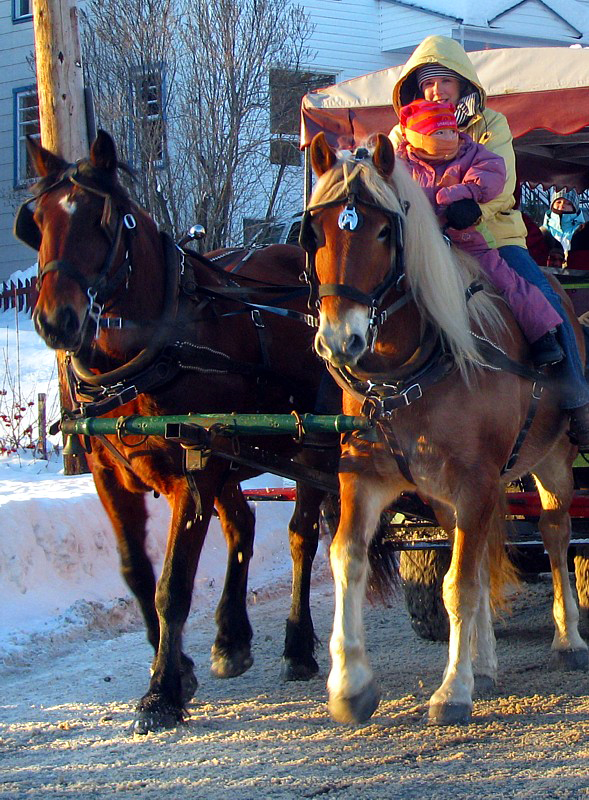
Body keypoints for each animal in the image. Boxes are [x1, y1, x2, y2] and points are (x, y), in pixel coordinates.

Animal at [21, 130, 340, 732]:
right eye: (37, 221)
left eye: (103, 219)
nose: (56, 321)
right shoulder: (111, 476)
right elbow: (137, 574)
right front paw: (179, 667)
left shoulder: (190, 475)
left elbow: (174, 583)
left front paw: (161, 693)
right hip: (230, 449)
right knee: (242, 527)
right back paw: (231, 638)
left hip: (311, 443)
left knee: (301, 536)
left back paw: (297, 645)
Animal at [304, 133, 588, 724]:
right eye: (314, 231)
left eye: (384, 231)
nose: (341, 340)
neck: (407, 372)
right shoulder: (365, 477)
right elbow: (349, 559)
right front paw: (350, 685)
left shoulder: (476, 481)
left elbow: (458, 585)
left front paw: (452, 690)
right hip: (447, 496)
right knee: (478, 558)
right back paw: (484, 662)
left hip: (552, 462)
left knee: (555, 535)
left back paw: (568, 639)